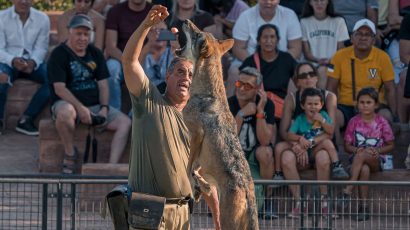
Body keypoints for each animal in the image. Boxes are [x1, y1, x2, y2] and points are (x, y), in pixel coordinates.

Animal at [177, 19, 260, 228]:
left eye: (197, 34)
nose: (185, 20)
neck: (207, 92)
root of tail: (249, 197)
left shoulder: (196, 134)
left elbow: (189, 165)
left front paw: (192, 182)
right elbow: (195, 167)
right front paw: (199, 184)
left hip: (226, 221)